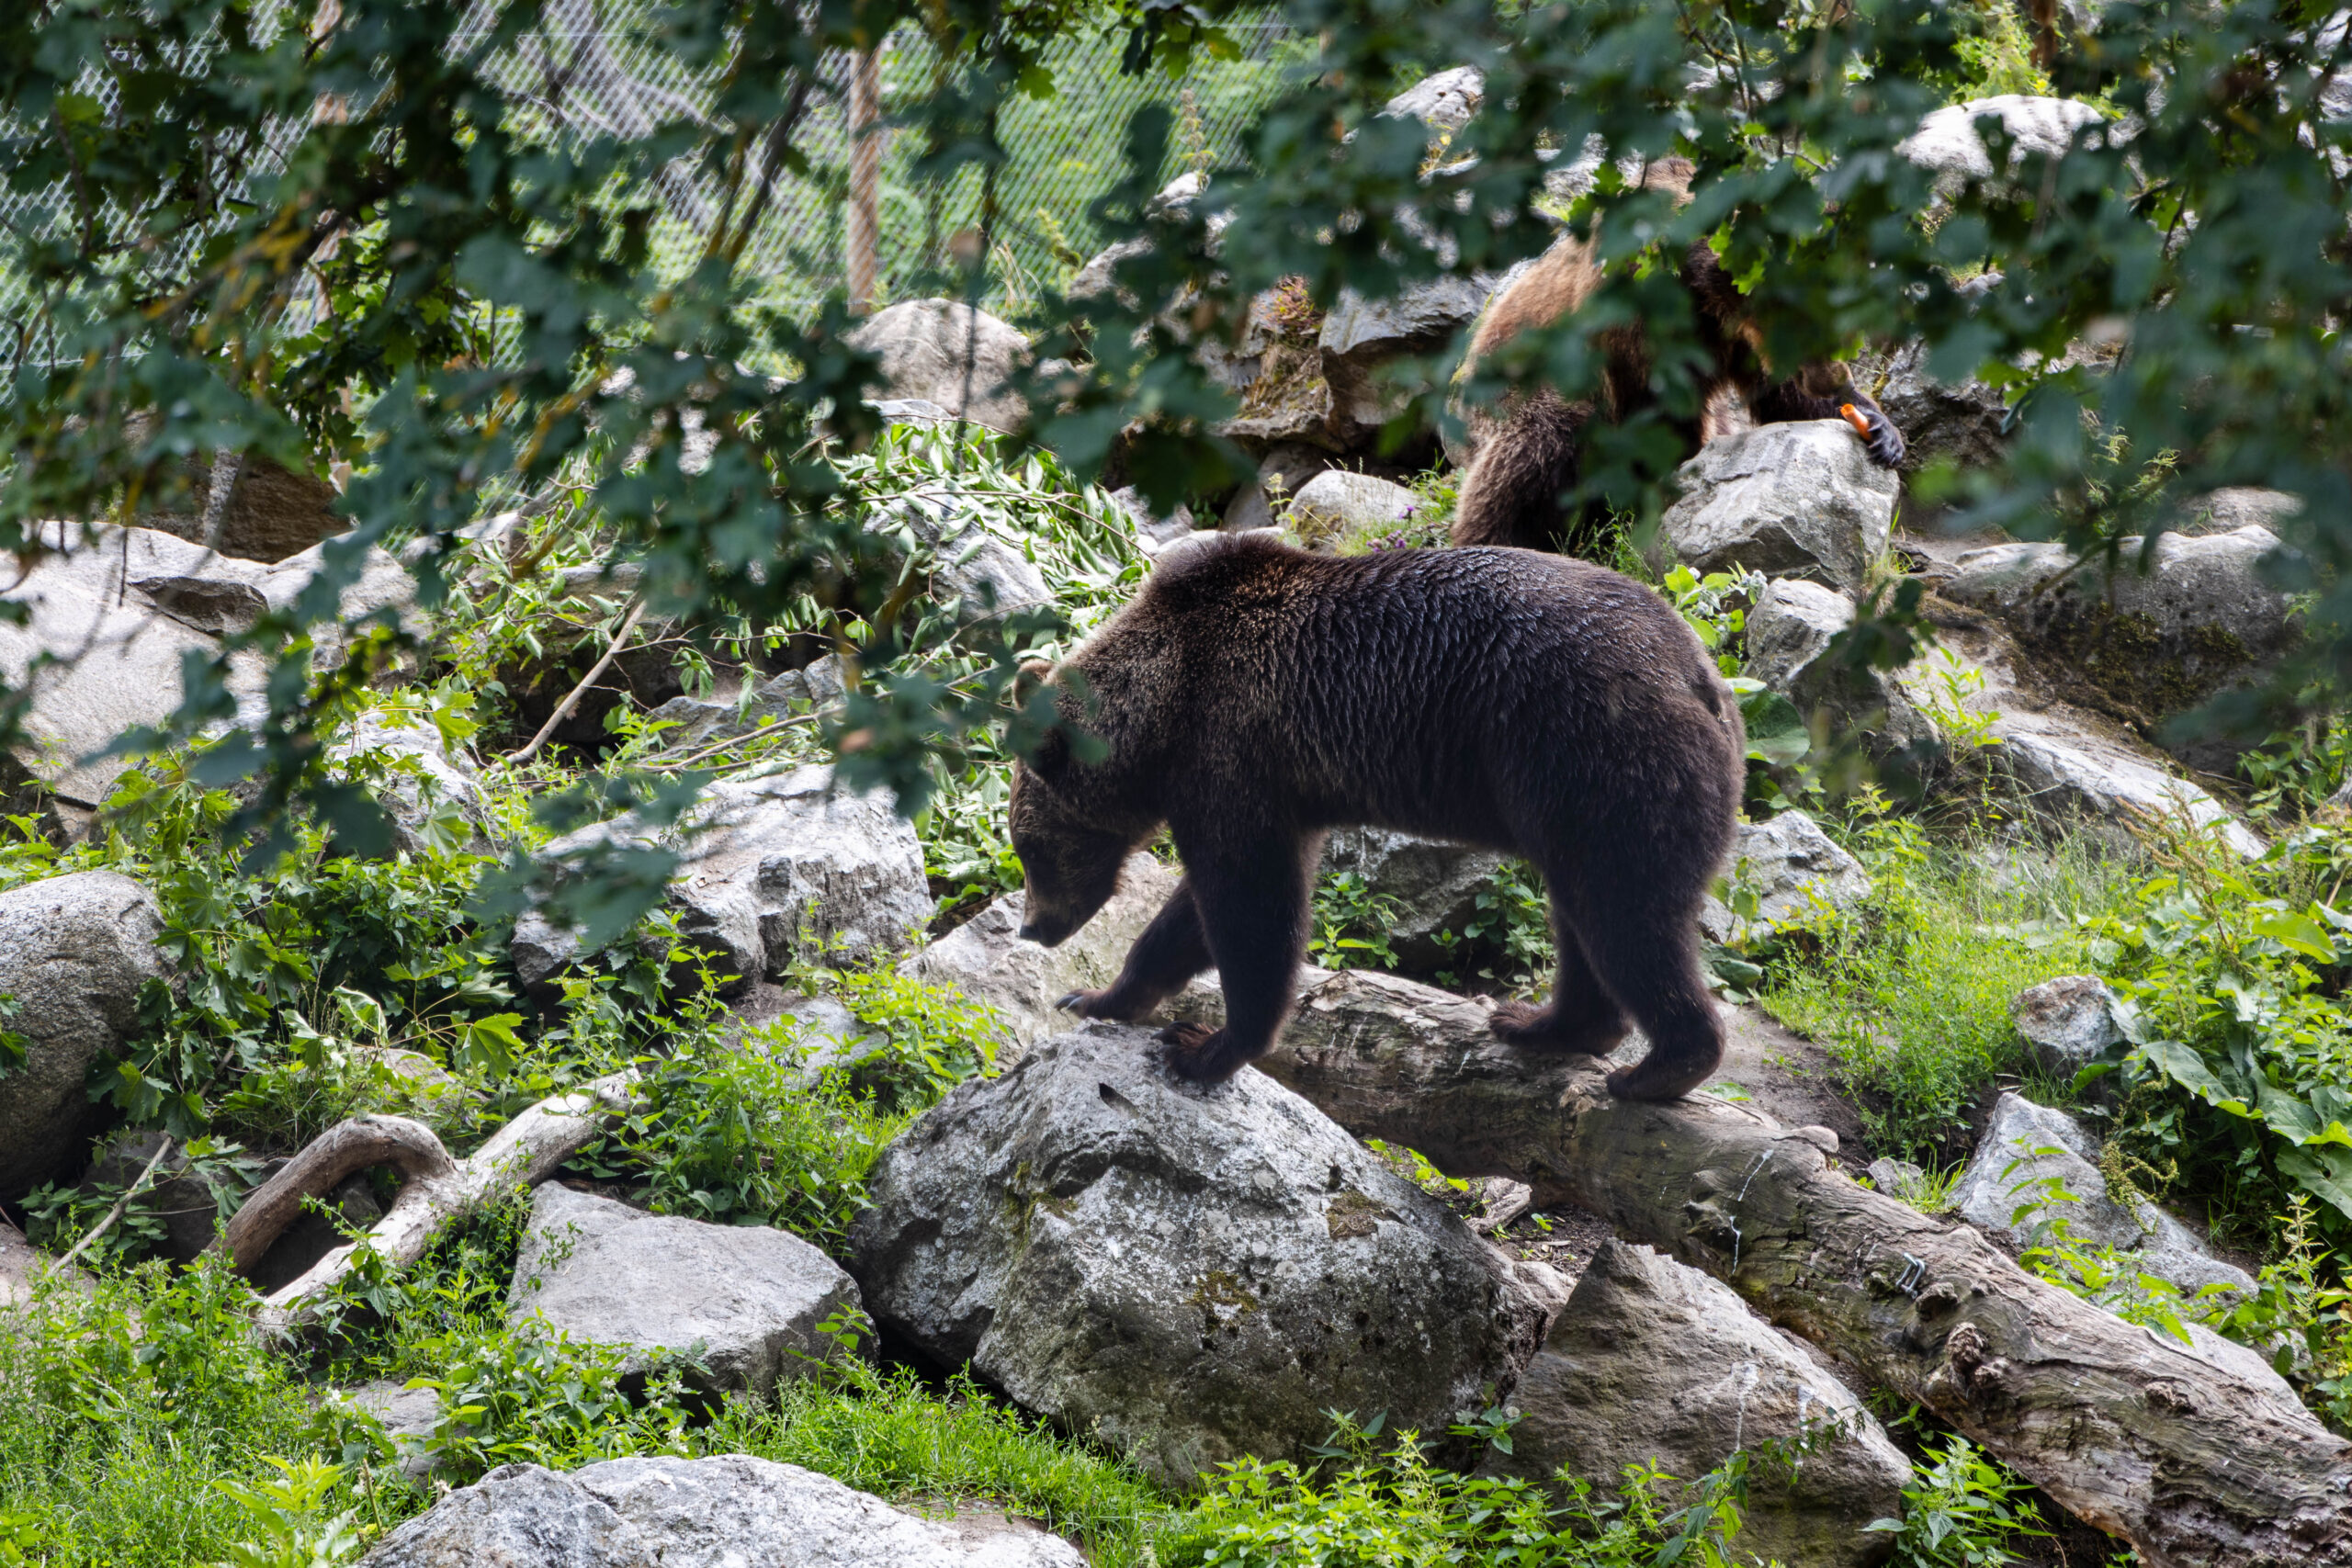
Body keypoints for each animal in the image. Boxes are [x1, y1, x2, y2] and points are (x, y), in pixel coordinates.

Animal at [1007, 531, 1747, 1102]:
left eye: (1028, 848)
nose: (1033, 927)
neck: (1160, 713)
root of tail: (1700, 675)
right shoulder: (1267, 786)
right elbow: (1189, 918)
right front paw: (1096, 998)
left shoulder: (1231, 755)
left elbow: (1248, 904)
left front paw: (1207, 1044)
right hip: (1570, 795)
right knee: (1581, 915)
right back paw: (1539, 1021)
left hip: (1596, 761)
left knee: (1625, 915)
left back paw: (1659, 1067)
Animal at [1451, 156, 1905, 555]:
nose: (1833, 378)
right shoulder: (1639, 322)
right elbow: (1661, 414)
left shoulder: (1734, 340)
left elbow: (1779, 394)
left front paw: (1882, 431)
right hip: (1518, 387)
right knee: (1538, 444)